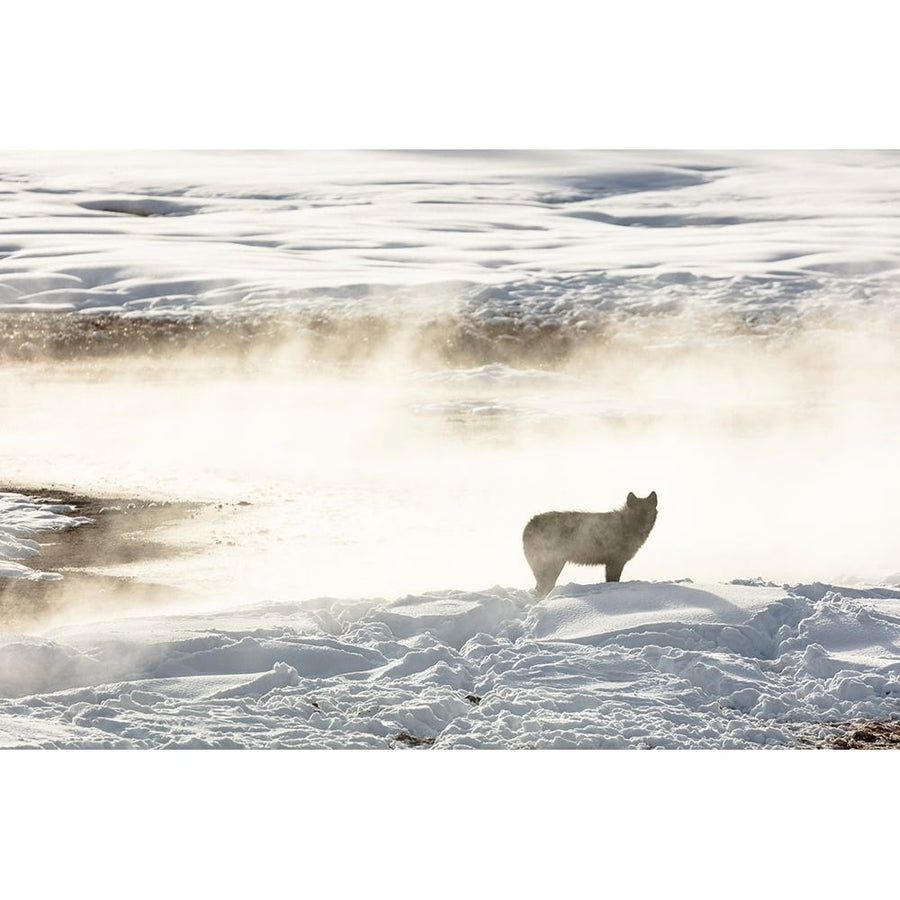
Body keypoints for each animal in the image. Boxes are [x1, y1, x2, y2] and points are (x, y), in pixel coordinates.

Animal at [520, 492, 652, 596]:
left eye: (648, 512)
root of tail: (528, 525)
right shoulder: (614, 562)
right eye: (636, 513)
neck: (625, 526)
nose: (644, 525)